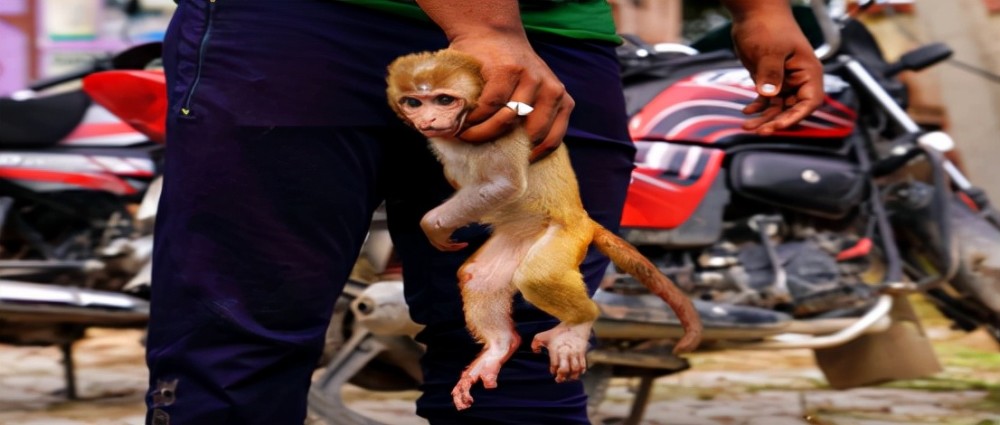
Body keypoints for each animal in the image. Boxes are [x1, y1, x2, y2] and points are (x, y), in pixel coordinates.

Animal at [384, 49, 704, 410]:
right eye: (413, 101)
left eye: (443, 99)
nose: (428, 119)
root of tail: (583, 218)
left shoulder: (501, 130)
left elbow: (505, 184)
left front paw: (432, 225)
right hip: (518, 238)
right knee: (479, 277)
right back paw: (499, 346)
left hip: (564, 236)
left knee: (537, 276)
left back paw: (581, 321)